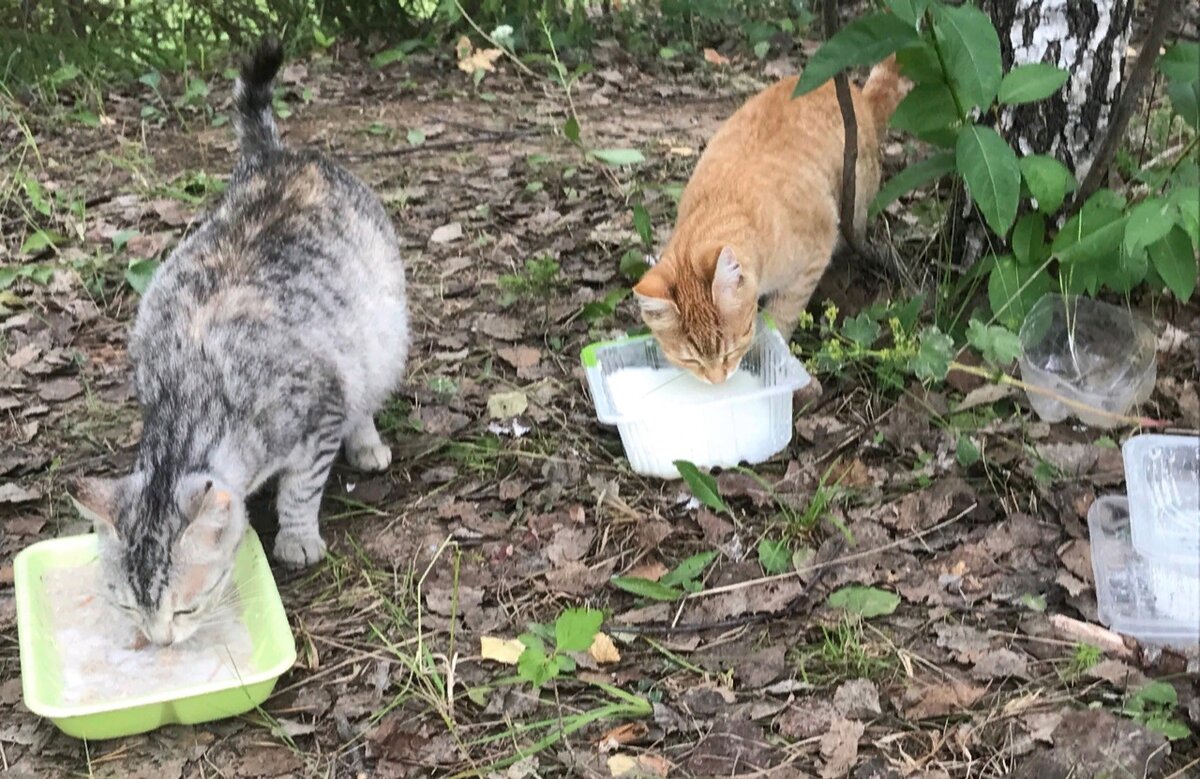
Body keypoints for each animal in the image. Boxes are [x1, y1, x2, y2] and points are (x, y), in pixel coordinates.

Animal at [71, 36, 408, 643]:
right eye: (128, 606)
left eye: (185, 607)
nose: (160, 641)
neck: (189, 395)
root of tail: (272, 156)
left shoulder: (320, 410)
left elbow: (301, 487)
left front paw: (297, 537)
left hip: (380, 332)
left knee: (366, 390)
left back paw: (367, 443)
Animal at [633, 56, 902, 384]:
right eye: (689, 360)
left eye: (731, 349)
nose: (717, 380)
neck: (722, 199)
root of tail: (857, 95)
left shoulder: (811, 260)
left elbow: (780, 318)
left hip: (856, 205)